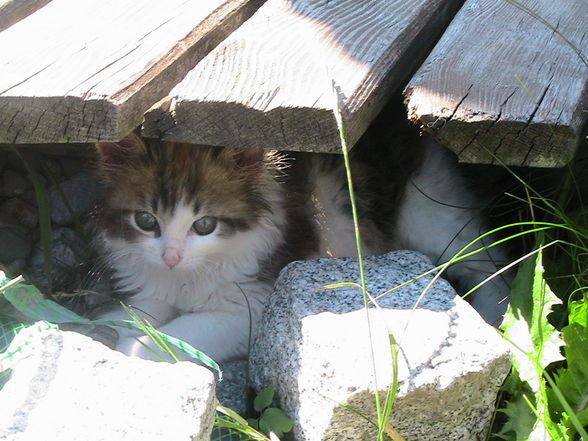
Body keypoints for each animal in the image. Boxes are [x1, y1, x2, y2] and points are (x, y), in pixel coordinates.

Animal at [94, 132, 508, 362]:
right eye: (146, 220)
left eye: (204, 225)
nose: (171, 257)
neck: (190, 274)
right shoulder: (153, 284)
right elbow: (132, 313)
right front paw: (109, 331)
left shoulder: (251, 304)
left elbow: (183, 332)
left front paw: (137, 349)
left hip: (429, 212)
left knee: (490, 261)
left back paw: (498, 316)